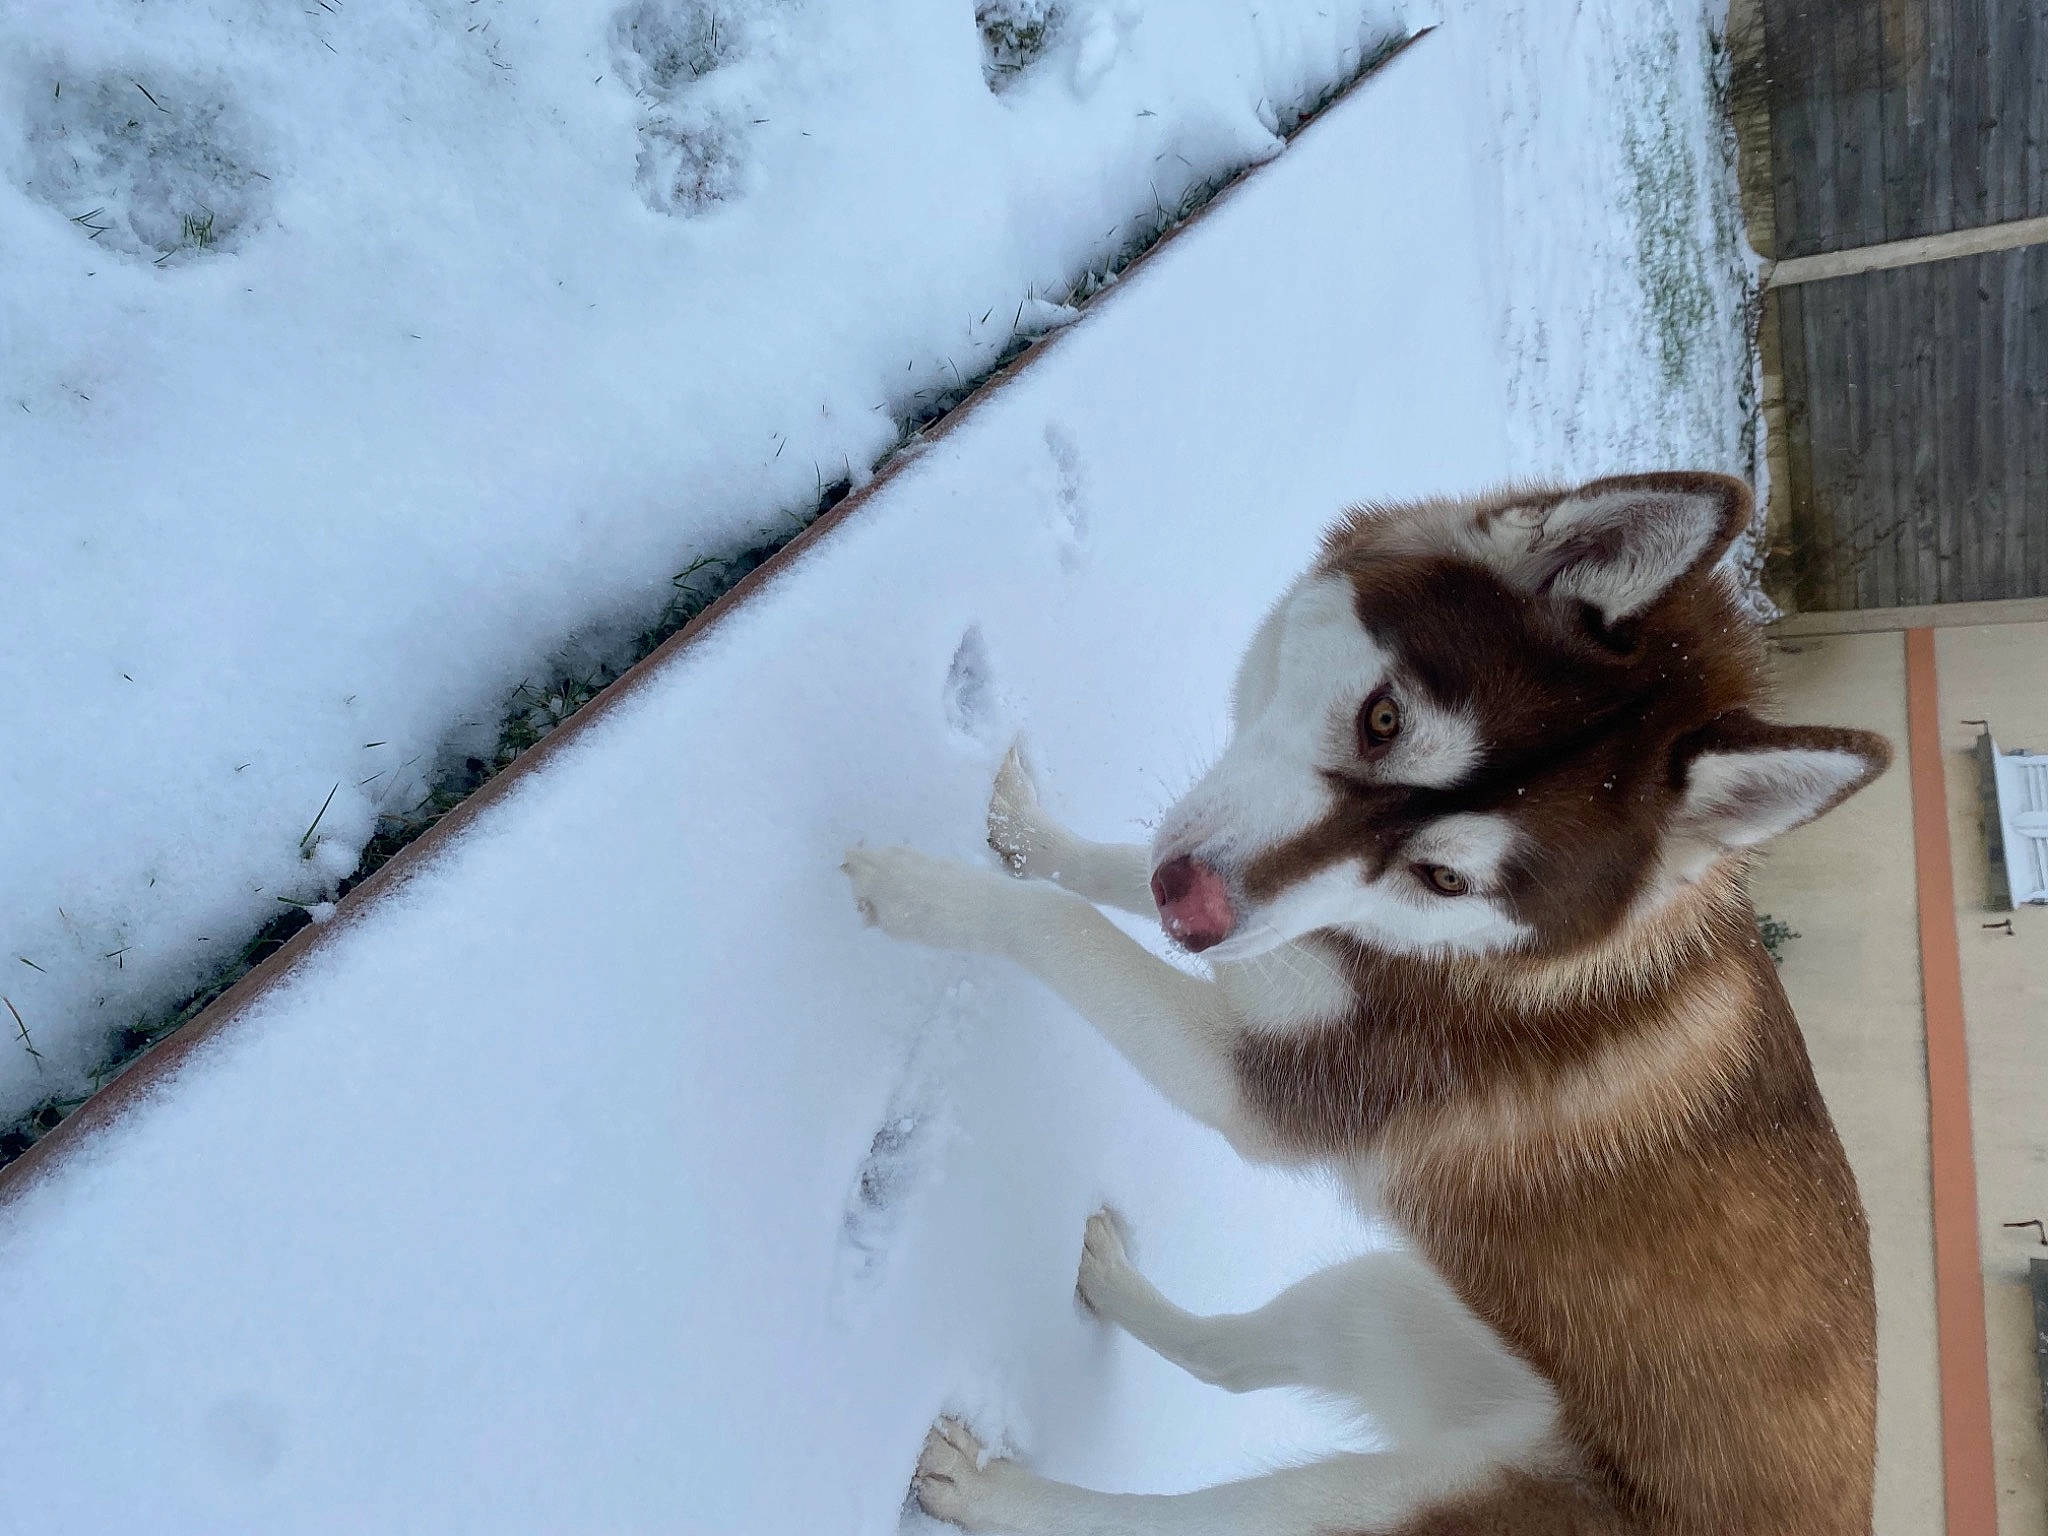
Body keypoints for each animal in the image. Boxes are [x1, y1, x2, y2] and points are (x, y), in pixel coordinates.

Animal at [843, 472, 1887, 1535]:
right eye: (1383, 721)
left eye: (1444, 879)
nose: (1195, 909)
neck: (1473, 963)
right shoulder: (1265, 916)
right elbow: (1117, 871)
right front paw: (1027, 834)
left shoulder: (1267, 1083)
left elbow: (1067, 927)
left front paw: (926, 895)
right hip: (1396, 1305)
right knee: (1235, 1358)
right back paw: (1109, 1281)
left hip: (1363, 1503)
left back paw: (986, 1487)